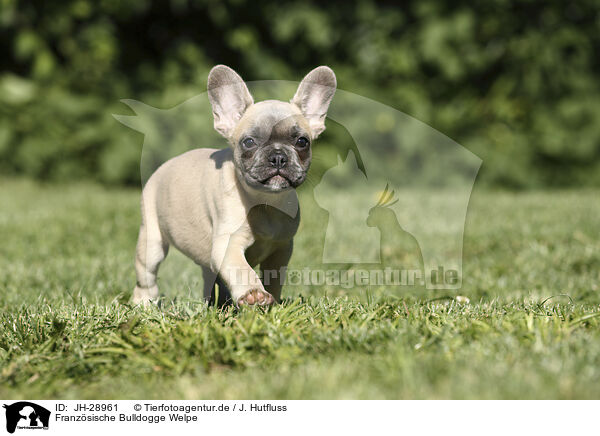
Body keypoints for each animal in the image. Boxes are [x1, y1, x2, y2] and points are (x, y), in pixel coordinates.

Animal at [132, 66, 336, 308]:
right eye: (249, 142)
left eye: (302, 142)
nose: (278, 156)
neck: (264, 202)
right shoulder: (228, 245)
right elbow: (241, 269)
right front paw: (253, 293)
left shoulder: (281, 249)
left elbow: (274, 279)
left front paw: (274, 303)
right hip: (151, 240)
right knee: (147, 275)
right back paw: (145, 304)